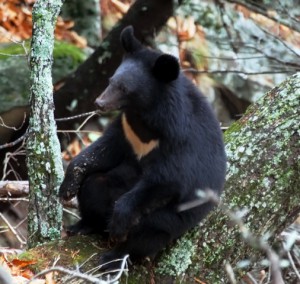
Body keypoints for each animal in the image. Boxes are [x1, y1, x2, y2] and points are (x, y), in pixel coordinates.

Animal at [59, 25, 225, 270]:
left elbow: (167, 178)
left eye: (124, 88)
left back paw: (113, 256)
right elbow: (103, 149)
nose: (99, 103)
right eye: (111, 80)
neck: (145, 118)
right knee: (94, 186)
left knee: (148, 231)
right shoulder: (126, 129)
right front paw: (67, 188)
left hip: (174, 219)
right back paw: (83, 226)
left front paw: (119, 223)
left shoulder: (181, 141)